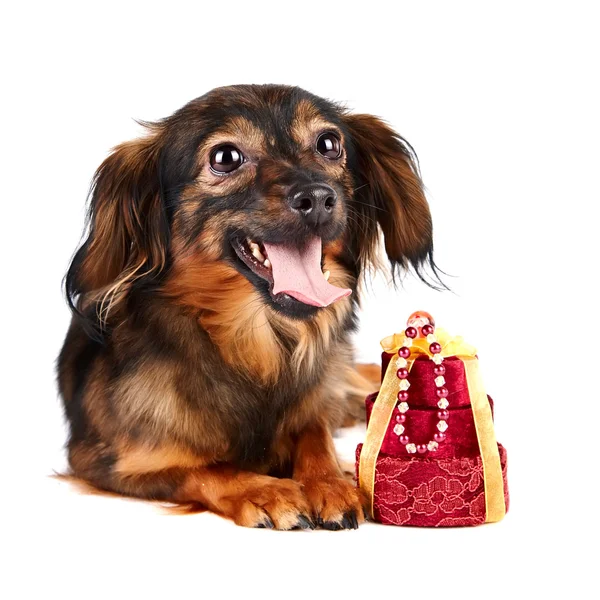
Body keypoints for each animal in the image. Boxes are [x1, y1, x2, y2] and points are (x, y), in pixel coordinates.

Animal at [58, 84, 438, 528]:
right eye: (225, 157)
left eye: (329, 144)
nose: (319, 197)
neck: (258, 346)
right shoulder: (105, 460)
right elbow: (206, 469)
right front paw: (266, 492)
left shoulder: (316, 403)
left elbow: (315, 434)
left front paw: (329, 483)